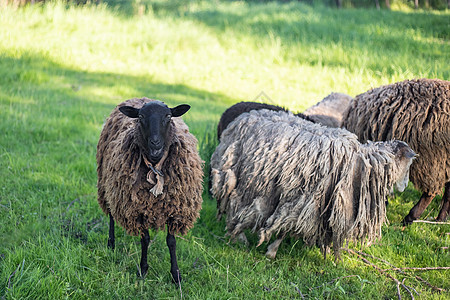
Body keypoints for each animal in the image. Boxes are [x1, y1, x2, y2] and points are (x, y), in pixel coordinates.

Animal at [99, 96, 206, 284]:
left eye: (168, 116)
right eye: (141, 117)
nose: (155, 143)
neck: (155, 165)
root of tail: (138, 98)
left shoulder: (175, 209)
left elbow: (171, 241)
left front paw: (176, 275)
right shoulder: (138, 209)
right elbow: (145, 239)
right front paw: (143, 270)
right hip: (108, 184)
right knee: (111, 214)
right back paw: (111, 244)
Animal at [211, 109, 414, 258]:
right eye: (408, 166)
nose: (405, 186)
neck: (365, 162)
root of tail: (244, 116)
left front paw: (272, 249)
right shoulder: (305, 200)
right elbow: (286, 226)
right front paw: (272, 252)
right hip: (234, 176)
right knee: (232, 204)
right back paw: (240, 238)